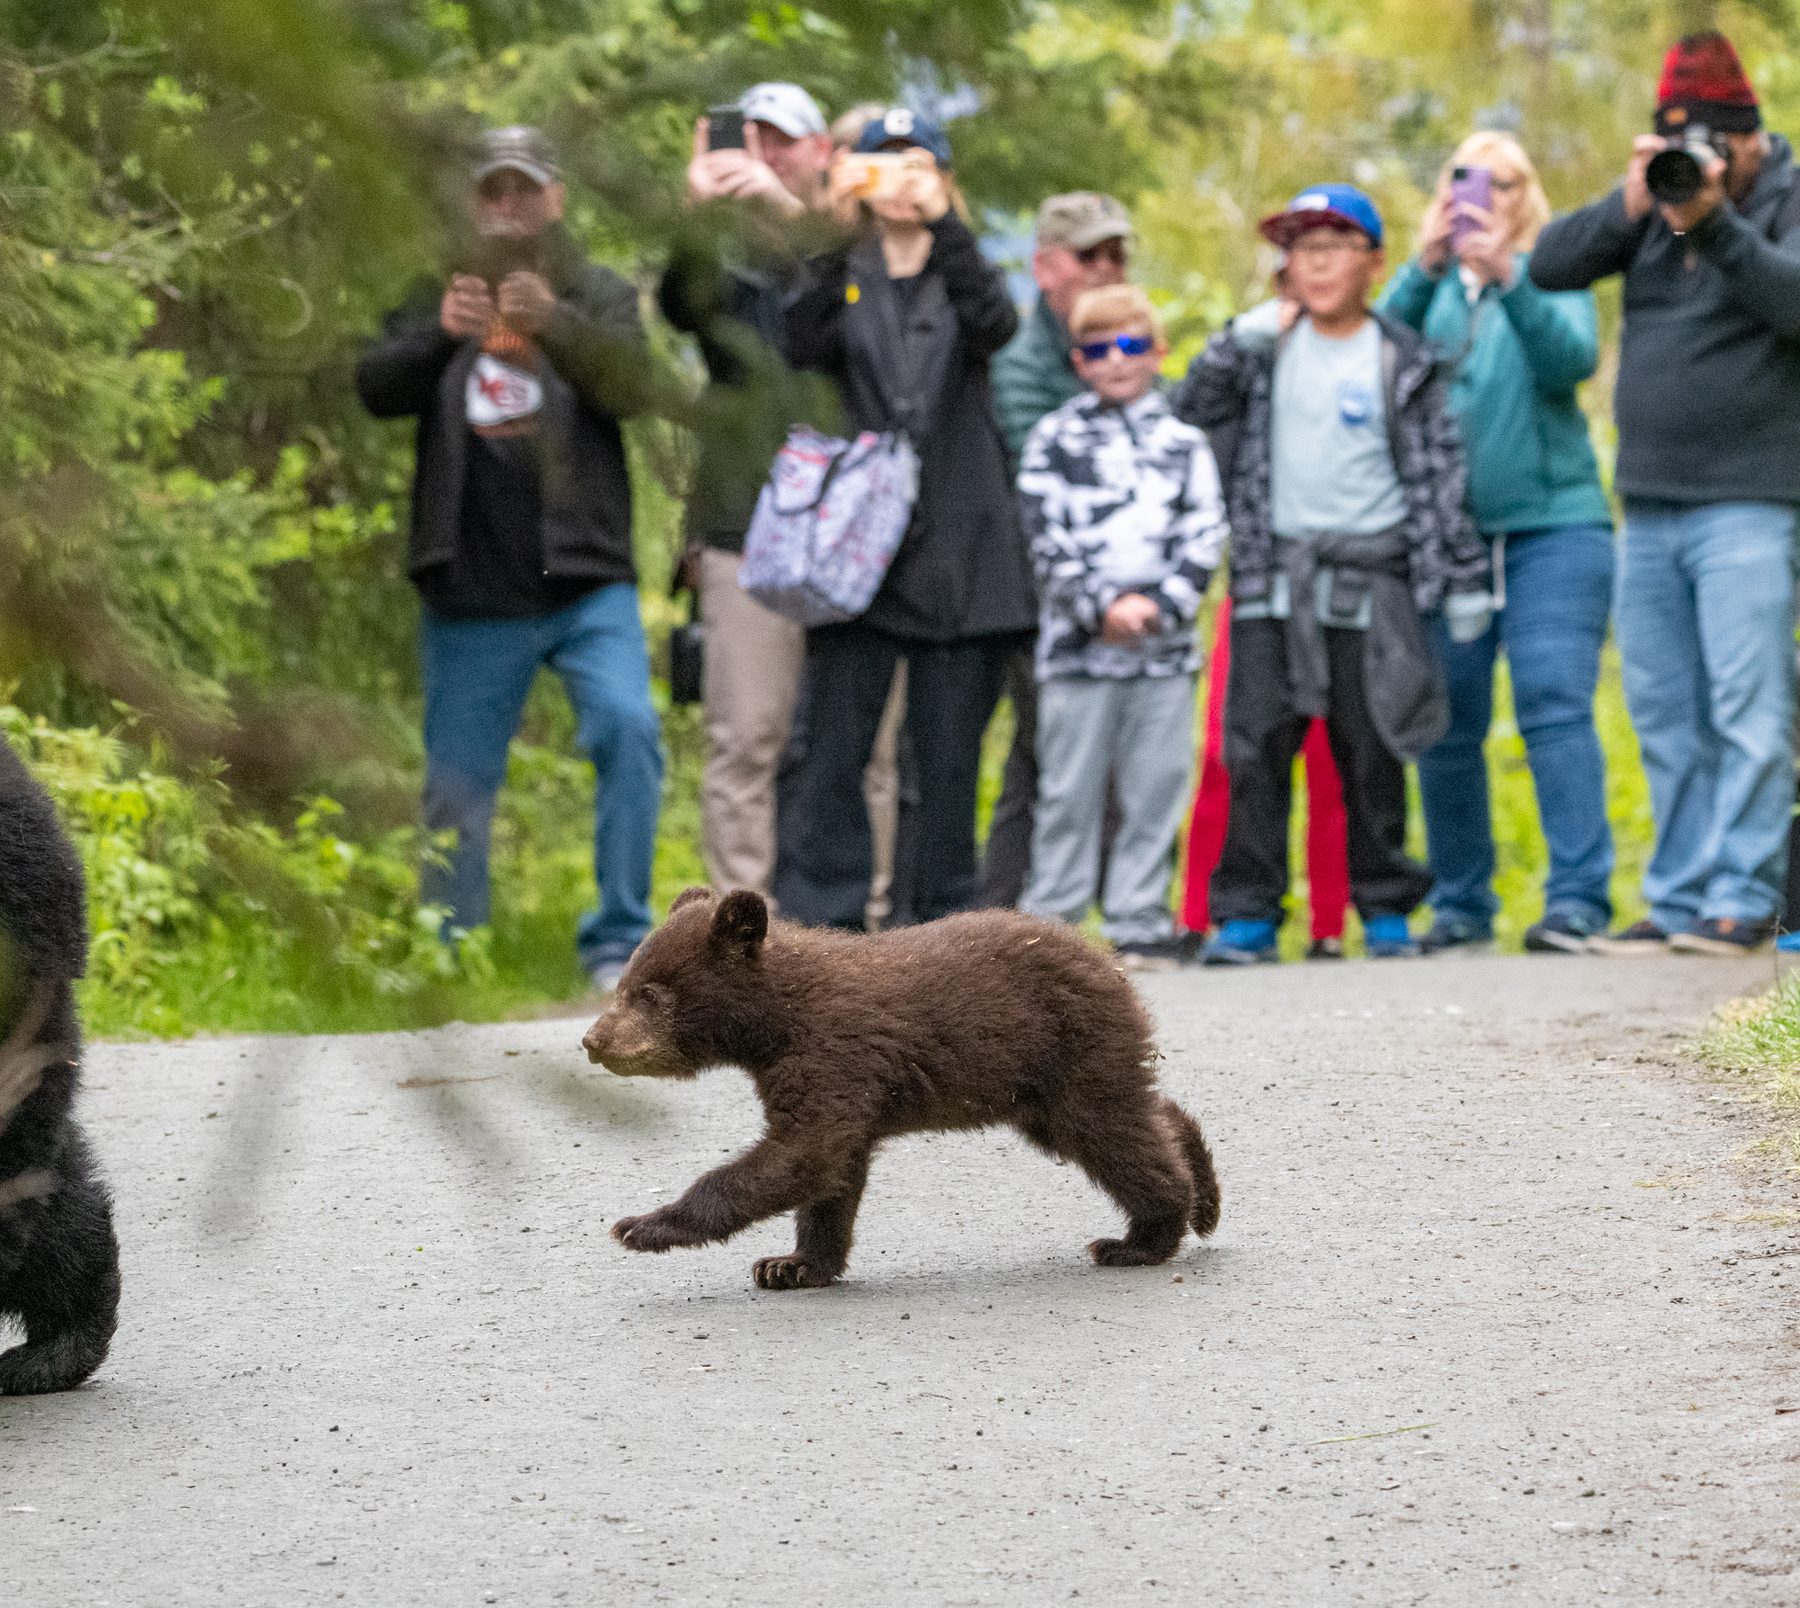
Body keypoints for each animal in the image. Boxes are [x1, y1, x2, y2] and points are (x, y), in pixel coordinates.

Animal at [581, 886, 1219, 1290]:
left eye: (648, 994)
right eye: (625, 985)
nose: (592, 1039)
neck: (777, 1019)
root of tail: (1110, 963)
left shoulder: (833, 1052)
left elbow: (804, 1152)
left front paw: (643, 1225)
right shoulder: (839, 1080)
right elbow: (831, 1174)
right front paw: (792, 1264)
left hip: (1069, 1054)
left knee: (1112, 1134)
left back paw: (1145, 1236)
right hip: (1040, 1084)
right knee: (1137, 1112)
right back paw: (1201, 1189)